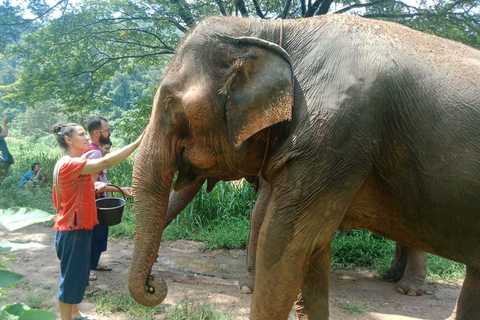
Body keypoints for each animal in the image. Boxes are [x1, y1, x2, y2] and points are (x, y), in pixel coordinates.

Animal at [127, 14, 480, 320]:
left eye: (170, 101)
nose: (155, 283)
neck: (277, 30)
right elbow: (312, 249)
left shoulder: (335, 136)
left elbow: (284, 242)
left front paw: (250, 286)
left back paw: (408, 291)